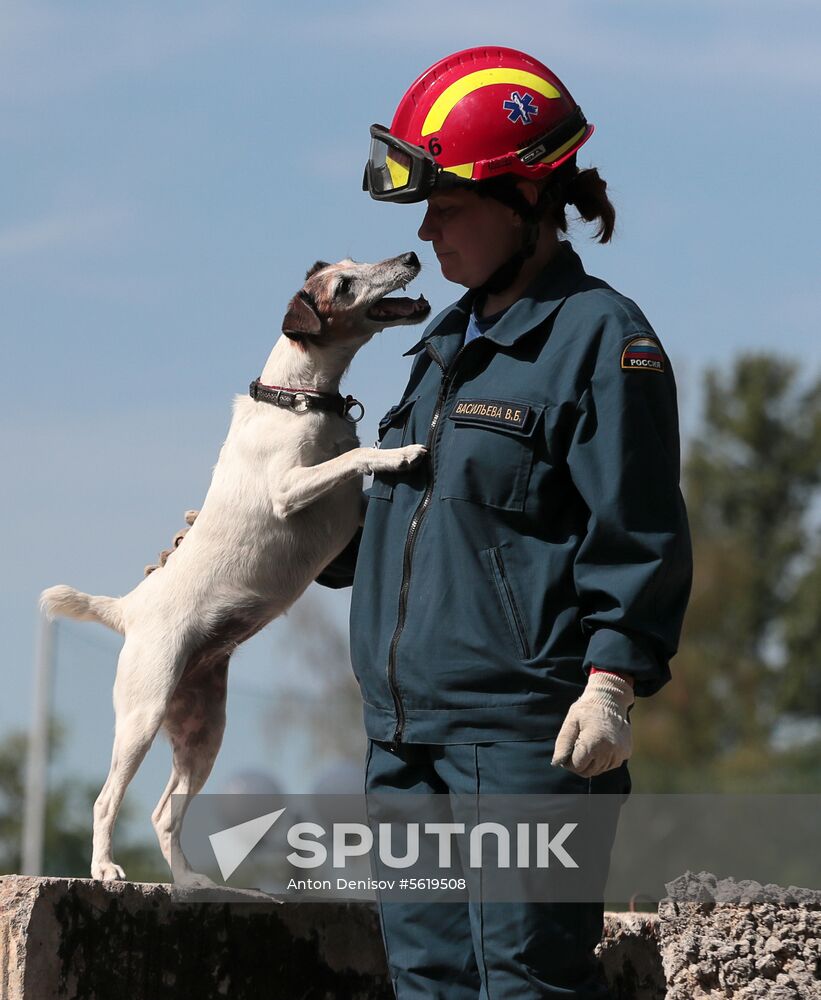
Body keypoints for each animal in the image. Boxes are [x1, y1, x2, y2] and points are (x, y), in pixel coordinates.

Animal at [40, 254, 430, 888]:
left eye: (353, 262)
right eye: (345, 284)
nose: (411, 258)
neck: (296, 399)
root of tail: (128, 610)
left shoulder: (345, 514)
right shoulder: (289, 489)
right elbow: (354, 457)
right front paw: (397, 455)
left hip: (202, 733)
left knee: (163, 813)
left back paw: (189, 880)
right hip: (142, 715)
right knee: (105, 800)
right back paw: (104, 868)